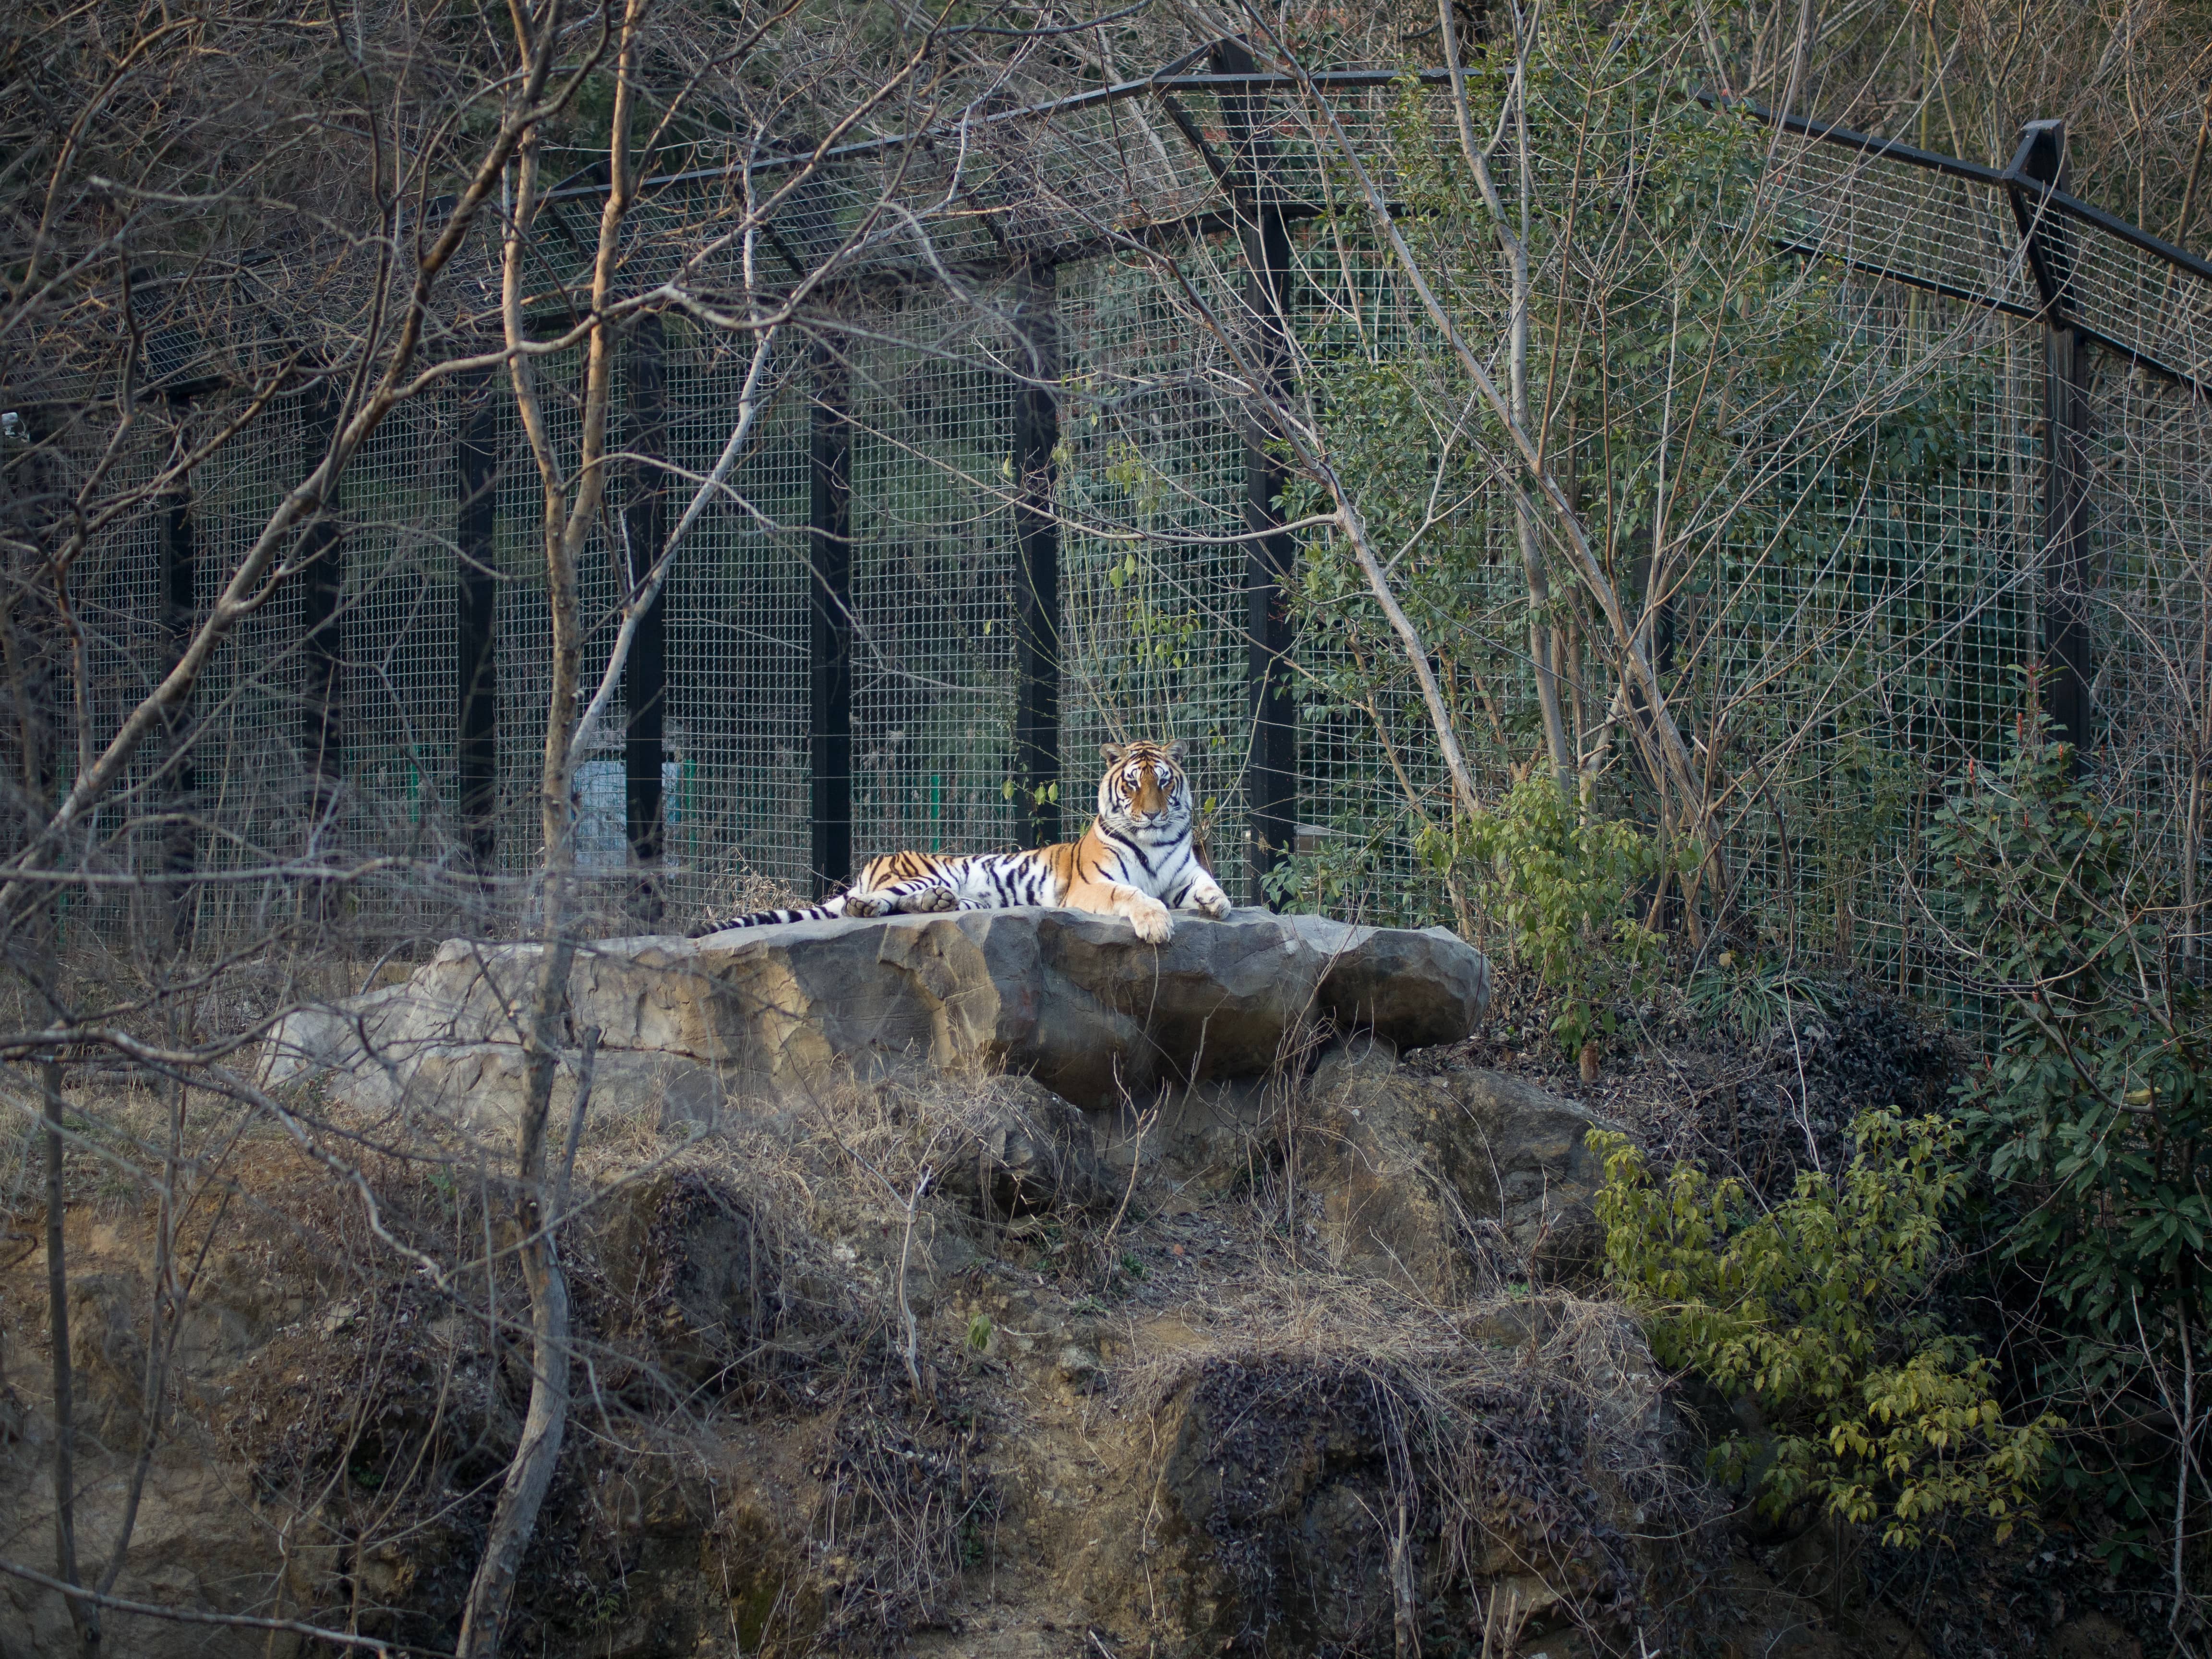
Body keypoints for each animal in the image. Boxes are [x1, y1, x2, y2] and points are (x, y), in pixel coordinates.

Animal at [694, 743, 1230, 947]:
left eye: (1163, 782)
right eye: (1133, 784)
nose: (1152, 813)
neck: (1154, 841)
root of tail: (875, 861)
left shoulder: (1182, 872)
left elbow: (1206, 884)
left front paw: (1217, 902)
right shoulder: (1095, 885)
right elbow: (1133, 894)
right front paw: (1156, 924)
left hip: (965, 891)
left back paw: (937, 904)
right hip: (922, 871)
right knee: (862, 904)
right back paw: (871, 905)